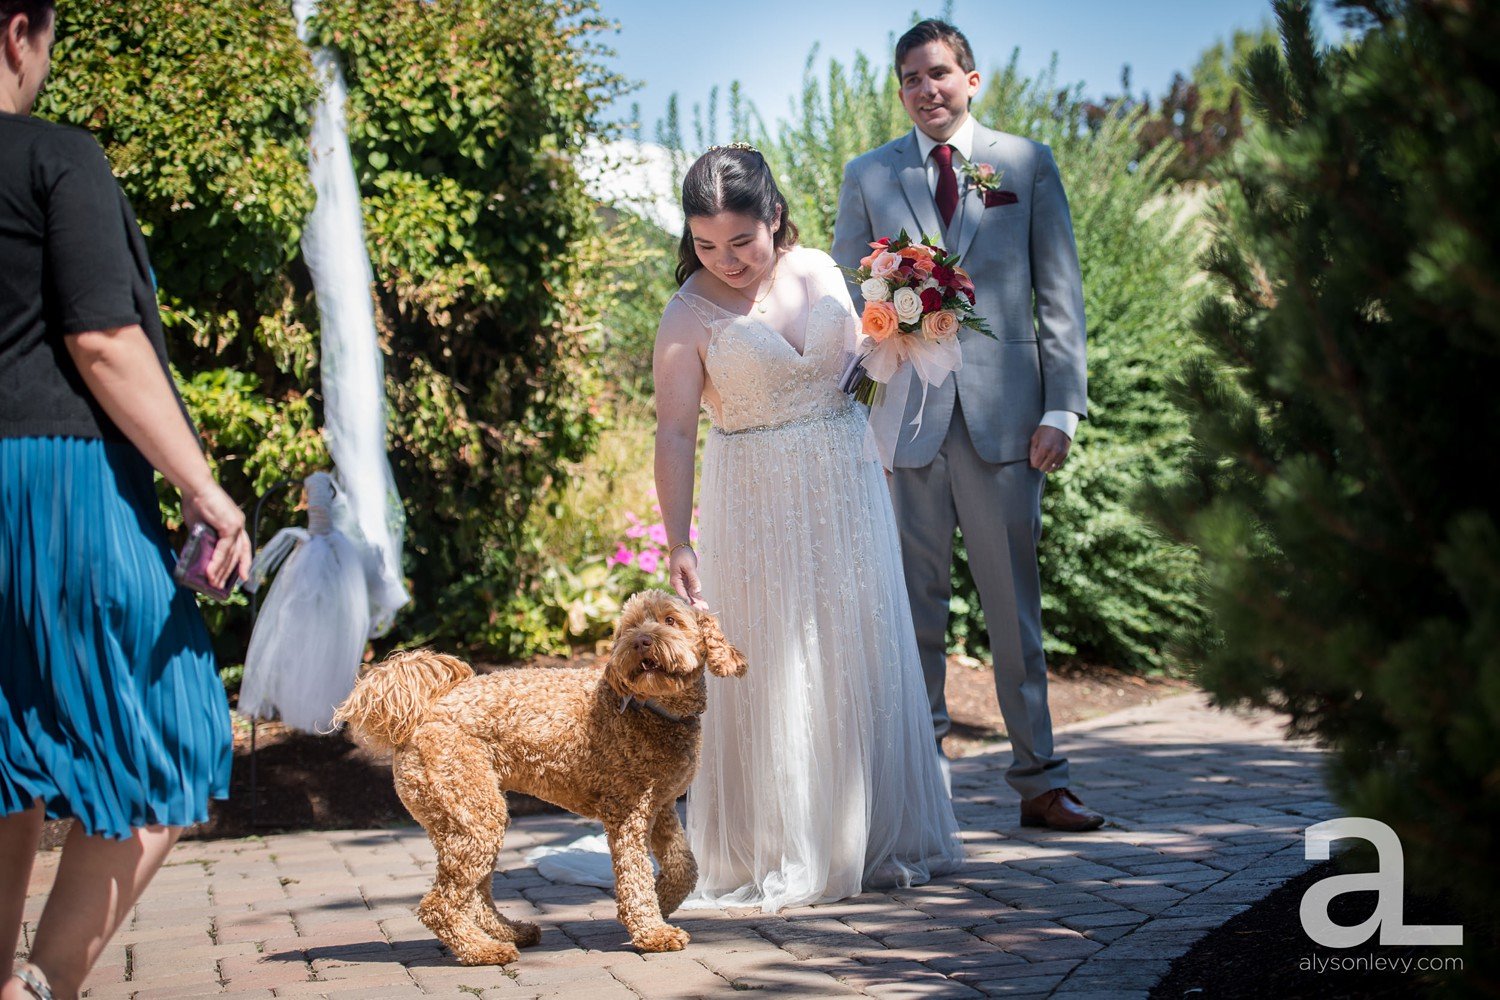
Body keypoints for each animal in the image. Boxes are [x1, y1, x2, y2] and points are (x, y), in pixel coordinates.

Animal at [334, 590, 744, 965]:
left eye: (671, 620)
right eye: (628, 627)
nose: (641, 641)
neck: (653, 710)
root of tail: (424, 710)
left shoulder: (660, 807)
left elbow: (684, 867)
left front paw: (660, 902)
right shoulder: (627, 813)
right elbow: (635, 875)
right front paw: (651, 930)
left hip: (469, 819)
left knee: (476, 895)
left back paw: (509, 931)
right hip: (473, 815)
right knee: (439, 904)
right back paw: (483, 950)